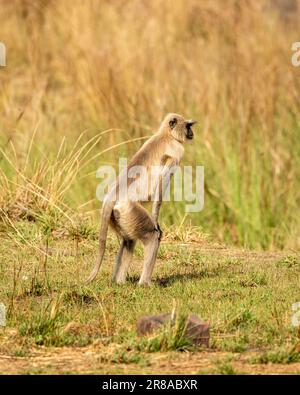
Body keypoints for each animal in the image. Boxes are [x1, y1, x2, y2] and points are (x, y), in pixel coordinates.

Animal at [85, 113, 197, 286]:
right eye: (188, 126)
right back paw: (145, 283)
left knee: (128, 241)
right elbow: (160, 192)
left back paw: (119, 282)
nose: (191, 133)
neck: (165, 134)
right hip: (130, 209)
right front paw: (157, 222)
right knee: (151, 236)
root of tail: (112, 196)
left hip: (119, 216)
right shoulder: (177, 150)